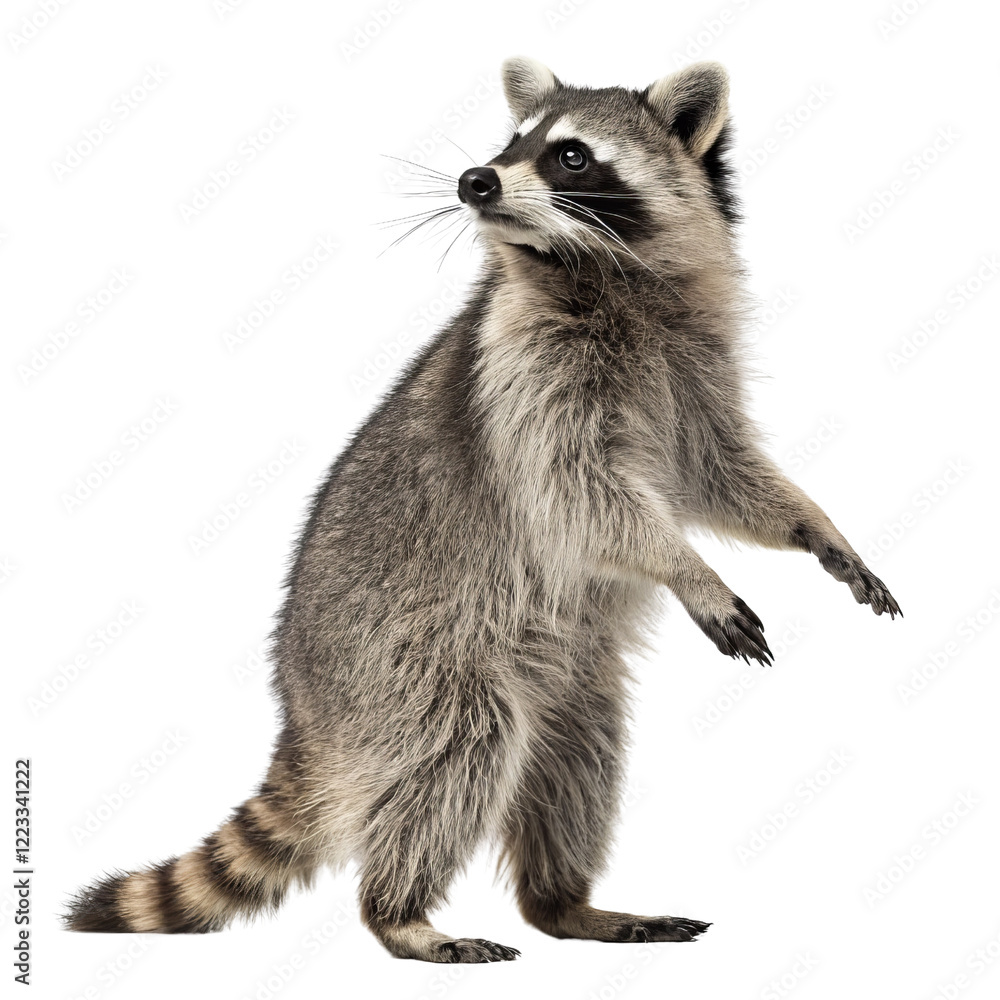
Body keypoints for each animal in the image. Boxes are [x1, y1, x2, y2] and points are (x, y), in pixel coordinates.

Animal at [65, 57, 901, 963]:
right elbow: (586, 496)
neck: (602, 271)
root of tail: (303, 708)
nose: (475, 179)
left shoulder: (694, 369)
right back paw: (399, 913)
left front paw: (815, 526)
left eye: (571, 156)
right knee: (454, 752)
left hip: (571, 680)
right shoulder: (524, 378)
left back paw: (563, 903)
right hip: (406, 658)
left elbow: (725, 475)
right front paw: (688, 568)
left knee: (577, 763)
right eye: (510, 143)